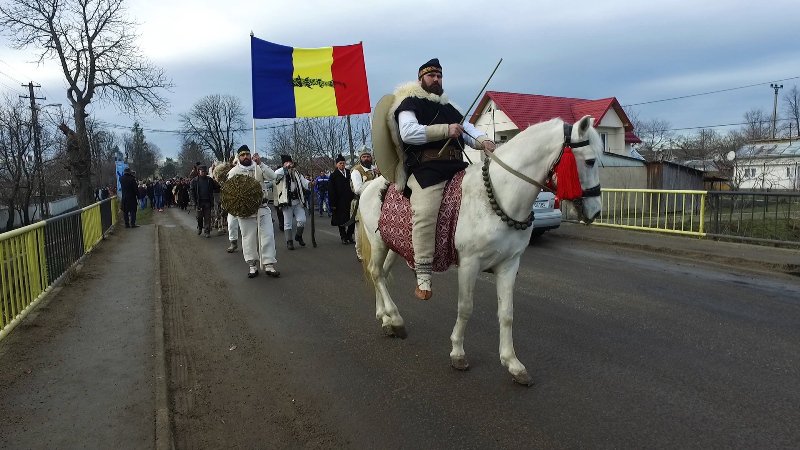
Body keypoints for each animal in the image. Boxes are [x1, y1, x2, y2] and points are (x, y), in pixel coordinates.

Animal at [360, 115, 604, 384]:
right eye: (590, 161)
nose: (595, 211)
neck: (499, 195)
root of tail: (370, 185)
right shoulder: (469, 264)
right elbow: (466, 307)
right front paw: (457, 353)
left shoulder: (509, 265)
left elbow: (507, 313)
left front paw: (513, 364)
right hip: (379, 243)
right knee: (376, 273)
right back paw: (395, 319)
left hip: (394, 245)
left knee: (380, 275)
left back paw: (385, 318)